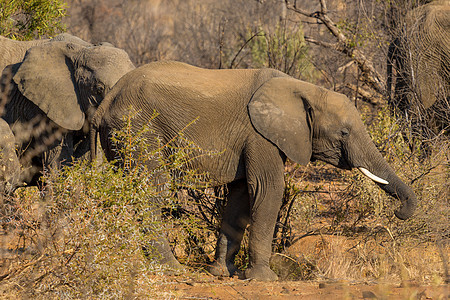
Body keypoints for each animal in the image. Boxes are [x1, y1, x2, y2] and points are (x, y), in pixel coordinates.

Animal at [91, 60, 418, 282]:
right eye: (344, 133)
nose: (399, 212)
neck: (304, 88)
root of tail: (107, 102)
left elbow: (241, 198)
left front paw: (223, 272)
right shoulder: (260, 136)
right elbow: (268, 189)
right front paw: (264, 278)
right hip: (138, 130)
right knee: (151, 192)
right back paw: (168, 268)